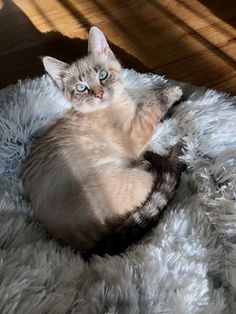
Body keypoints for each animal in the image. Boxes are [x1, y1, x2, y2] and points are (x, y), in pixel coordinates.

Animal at [21, 27, 184, 258]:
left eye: (102, 75)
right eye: (81, 87)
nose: (99, 94)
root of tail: (81, 249)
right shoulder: (136, 134)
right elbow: (152, 106)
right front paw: (172, 93)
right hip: (139, 179)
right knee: (165, 174)